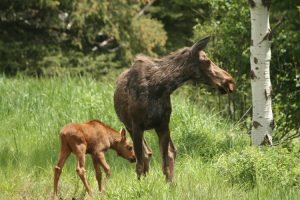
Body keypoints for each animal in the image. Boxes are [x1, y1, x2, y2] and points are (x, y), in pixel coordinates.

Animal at [113, 36, 236, 182]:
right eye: (207, 60)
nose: (230, 81)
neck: (160, 87)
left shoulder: (163, 125)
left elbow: (165, 162)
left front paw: (169, 185)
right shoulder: (136, 125)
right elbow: (139, 163)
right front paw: (141, 185)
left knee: (164, 151)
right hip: (130, 126)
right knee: (145, 155)